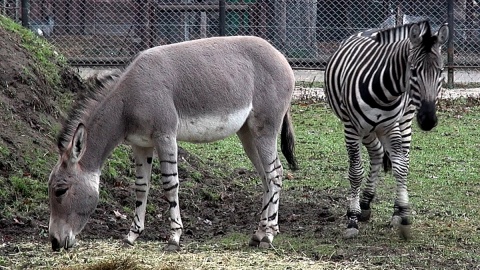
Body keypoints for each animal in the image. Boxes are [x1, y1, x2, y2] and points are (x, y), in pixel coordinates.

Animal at [324, 21, 448, 240]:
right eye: (413, 71)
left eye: (441, 71)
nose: (428, 120)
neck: (386, 92)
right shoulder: (352, 128)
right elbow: (355, 171)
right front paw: (352, 219)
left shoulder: (391, 127)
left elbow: (400, 167)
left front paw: (403, 215)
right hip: (367, 129)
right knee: (377, 153)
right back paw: (364, 204)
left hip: (403, 121)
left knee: (398, 157)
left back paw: (388, 208)